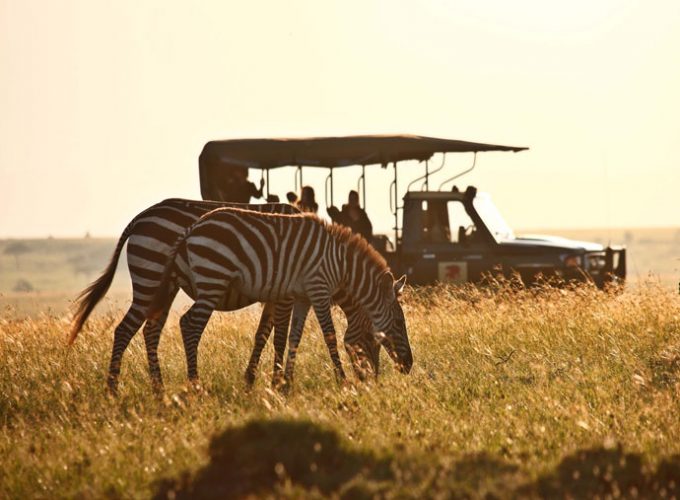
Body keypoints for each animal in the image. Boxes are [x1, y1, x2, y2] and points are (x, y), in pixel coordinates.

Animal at [69, 199, 380, 394]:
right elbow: (279, 336)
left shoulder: (275, 293)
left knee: (150, 331)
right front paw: (277, 382)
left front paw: (252, 379)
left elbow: (263, 334)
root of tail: (139, 218)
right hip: (151, 277)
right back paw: (113, 389)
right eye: (373, 339)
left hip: (164, 288)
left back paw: (158, 389)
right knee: (126, 329)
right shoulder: (285, 294)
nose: (373, 380)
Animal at [147, 209, 414, 384]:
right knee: (189, 325)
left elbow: (295, 337)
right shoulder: (318, 289)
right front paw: (342, 380)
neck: (342, 265)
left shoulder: (303, 296)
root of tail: (191, 229)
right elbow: (329, 335)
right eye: (399, 323)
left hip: (190, 284)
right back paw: (195, 384)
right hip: (213, 280)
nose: (409, 366)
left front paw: (286, 384)